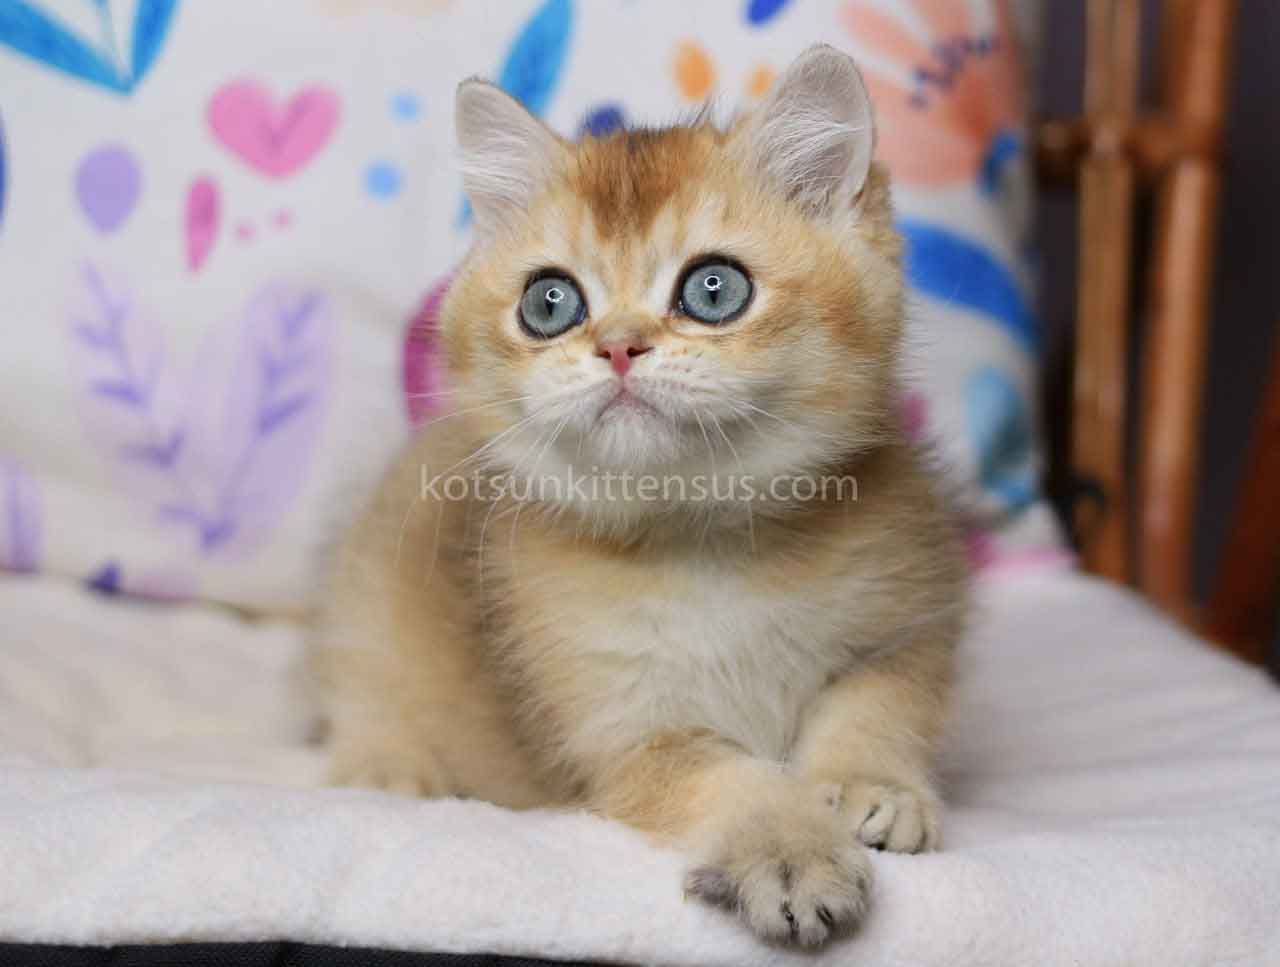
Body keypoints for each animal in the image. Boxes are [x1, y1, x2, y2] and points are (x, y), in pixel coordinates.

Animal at [315, 44, 969, 947]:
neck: (704, 538)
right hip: (368, 606)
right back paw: (389, 765)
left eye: (713, 290)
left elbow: (879, 702)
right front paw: (790, 849)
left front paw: (874, 785)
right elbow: (728, 776)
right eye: (550, 301)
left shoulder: (907, 619)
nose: (620, 346)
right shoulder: (622, 732)